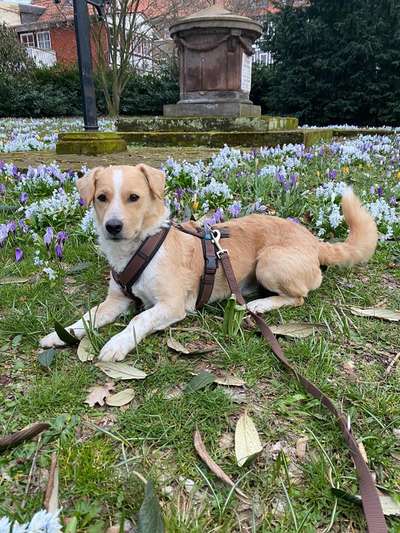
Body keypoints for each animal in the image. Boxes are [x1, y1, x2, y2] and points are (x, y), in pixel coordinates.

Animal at [39, 163, 378, 362]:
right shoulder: (116, 299)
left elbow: (139, 320)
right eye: (102, 197)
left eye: (134, 197)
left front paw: (117, 343)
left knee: (299, 296)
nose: (113, 227)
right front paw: (62, 333)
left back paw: (261, 304)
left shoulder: (171, 305)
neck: (142, 246)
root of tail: (314, 241)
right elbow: (88, 316)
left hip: (270, 262)